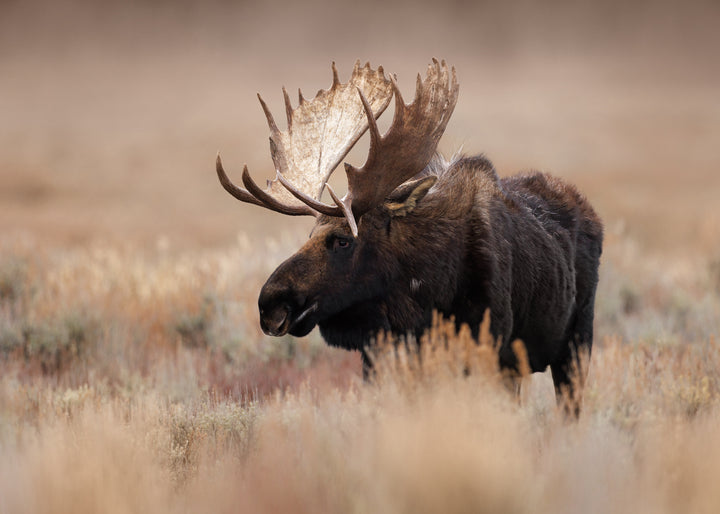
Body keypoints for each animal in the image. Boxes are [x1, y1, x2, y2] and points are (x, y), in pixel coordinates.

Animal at [215, 60, 603, 416]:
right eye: (311, 233)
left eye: (343, 240)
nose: (270, 304)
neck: (426, 295)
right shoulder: (384, 359)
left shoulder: (491, 350)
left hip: (575, 346)